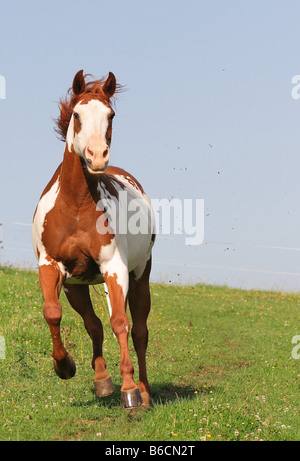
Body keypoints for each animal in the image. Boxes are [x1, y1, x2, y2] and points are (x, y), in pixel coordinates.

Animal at [31, 68, 156, 406]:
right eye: (77, 114)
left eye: (110, 115)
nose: (97, 156)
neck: (76, 205)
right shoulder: (51, 266)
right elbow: (53, 312)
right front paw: (64, 366)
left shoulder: (114, 268)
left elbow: (120, 324)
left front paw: (129, 391)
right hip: (77, 286)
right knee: (93, 325)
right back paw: (102, 380)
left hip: (139, 276)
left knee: (139, 331)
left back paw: (143, 392)